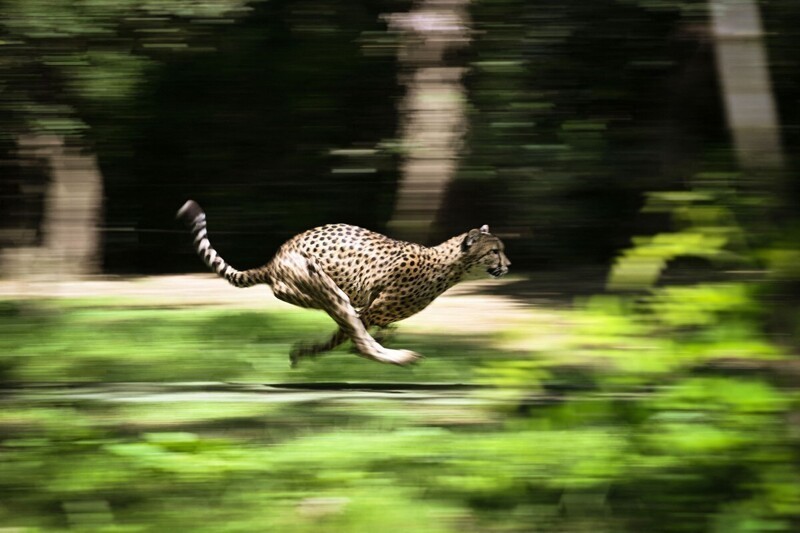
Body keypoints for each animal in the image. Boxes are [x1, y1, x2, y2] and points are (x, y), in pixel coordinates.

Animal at [177, 200, 510, 366]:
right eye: (494, 251)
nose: (508, 265)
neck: (448, 267)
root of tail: (275, 259)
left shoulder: (369, 312)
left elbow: (350, 335)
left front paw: (306, 352)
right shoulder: (369, 310)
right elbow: (350, 337)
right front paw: (312, 351)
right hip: (326, 287)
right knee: (360, 340)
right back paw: (399, 358)